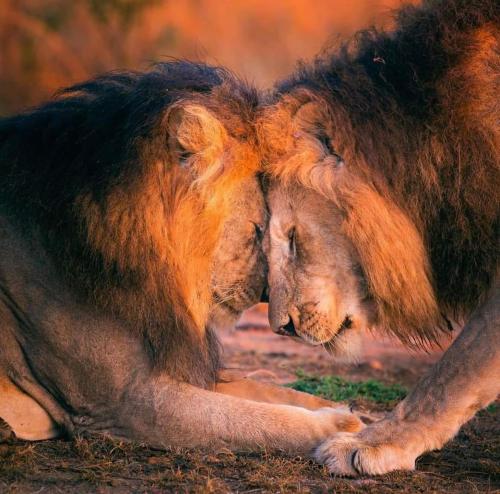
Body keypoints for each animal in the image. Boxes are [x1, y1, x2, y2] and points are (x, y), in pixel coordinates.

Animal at [0, 62, 362, 456]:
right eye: (258, 230)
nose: (268, 296)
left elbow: (273, 393)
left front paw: (358, 415)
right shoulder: (121, 405)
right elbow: (254, 420)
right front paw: (342, 425)